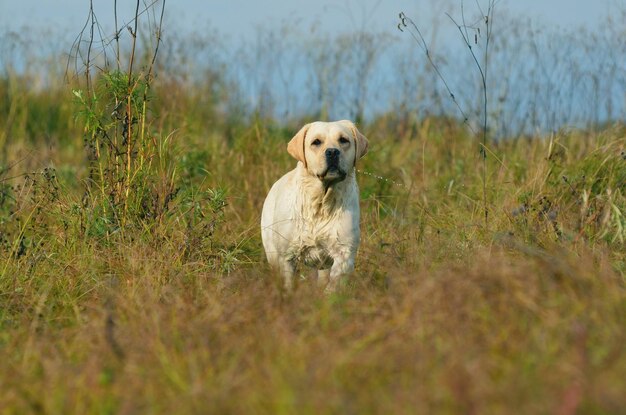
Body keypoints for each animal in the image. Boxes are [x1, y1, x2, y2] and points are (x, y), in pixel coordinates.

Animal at [260, 120, 368, 292]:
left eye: (343, 140)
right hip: (271, 250)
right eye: (316, 142)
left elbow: (333, 286)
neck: (321, 201)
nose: (332, 152)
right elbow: (287, 284)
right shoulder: (286, 256)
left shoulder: (344, 253)